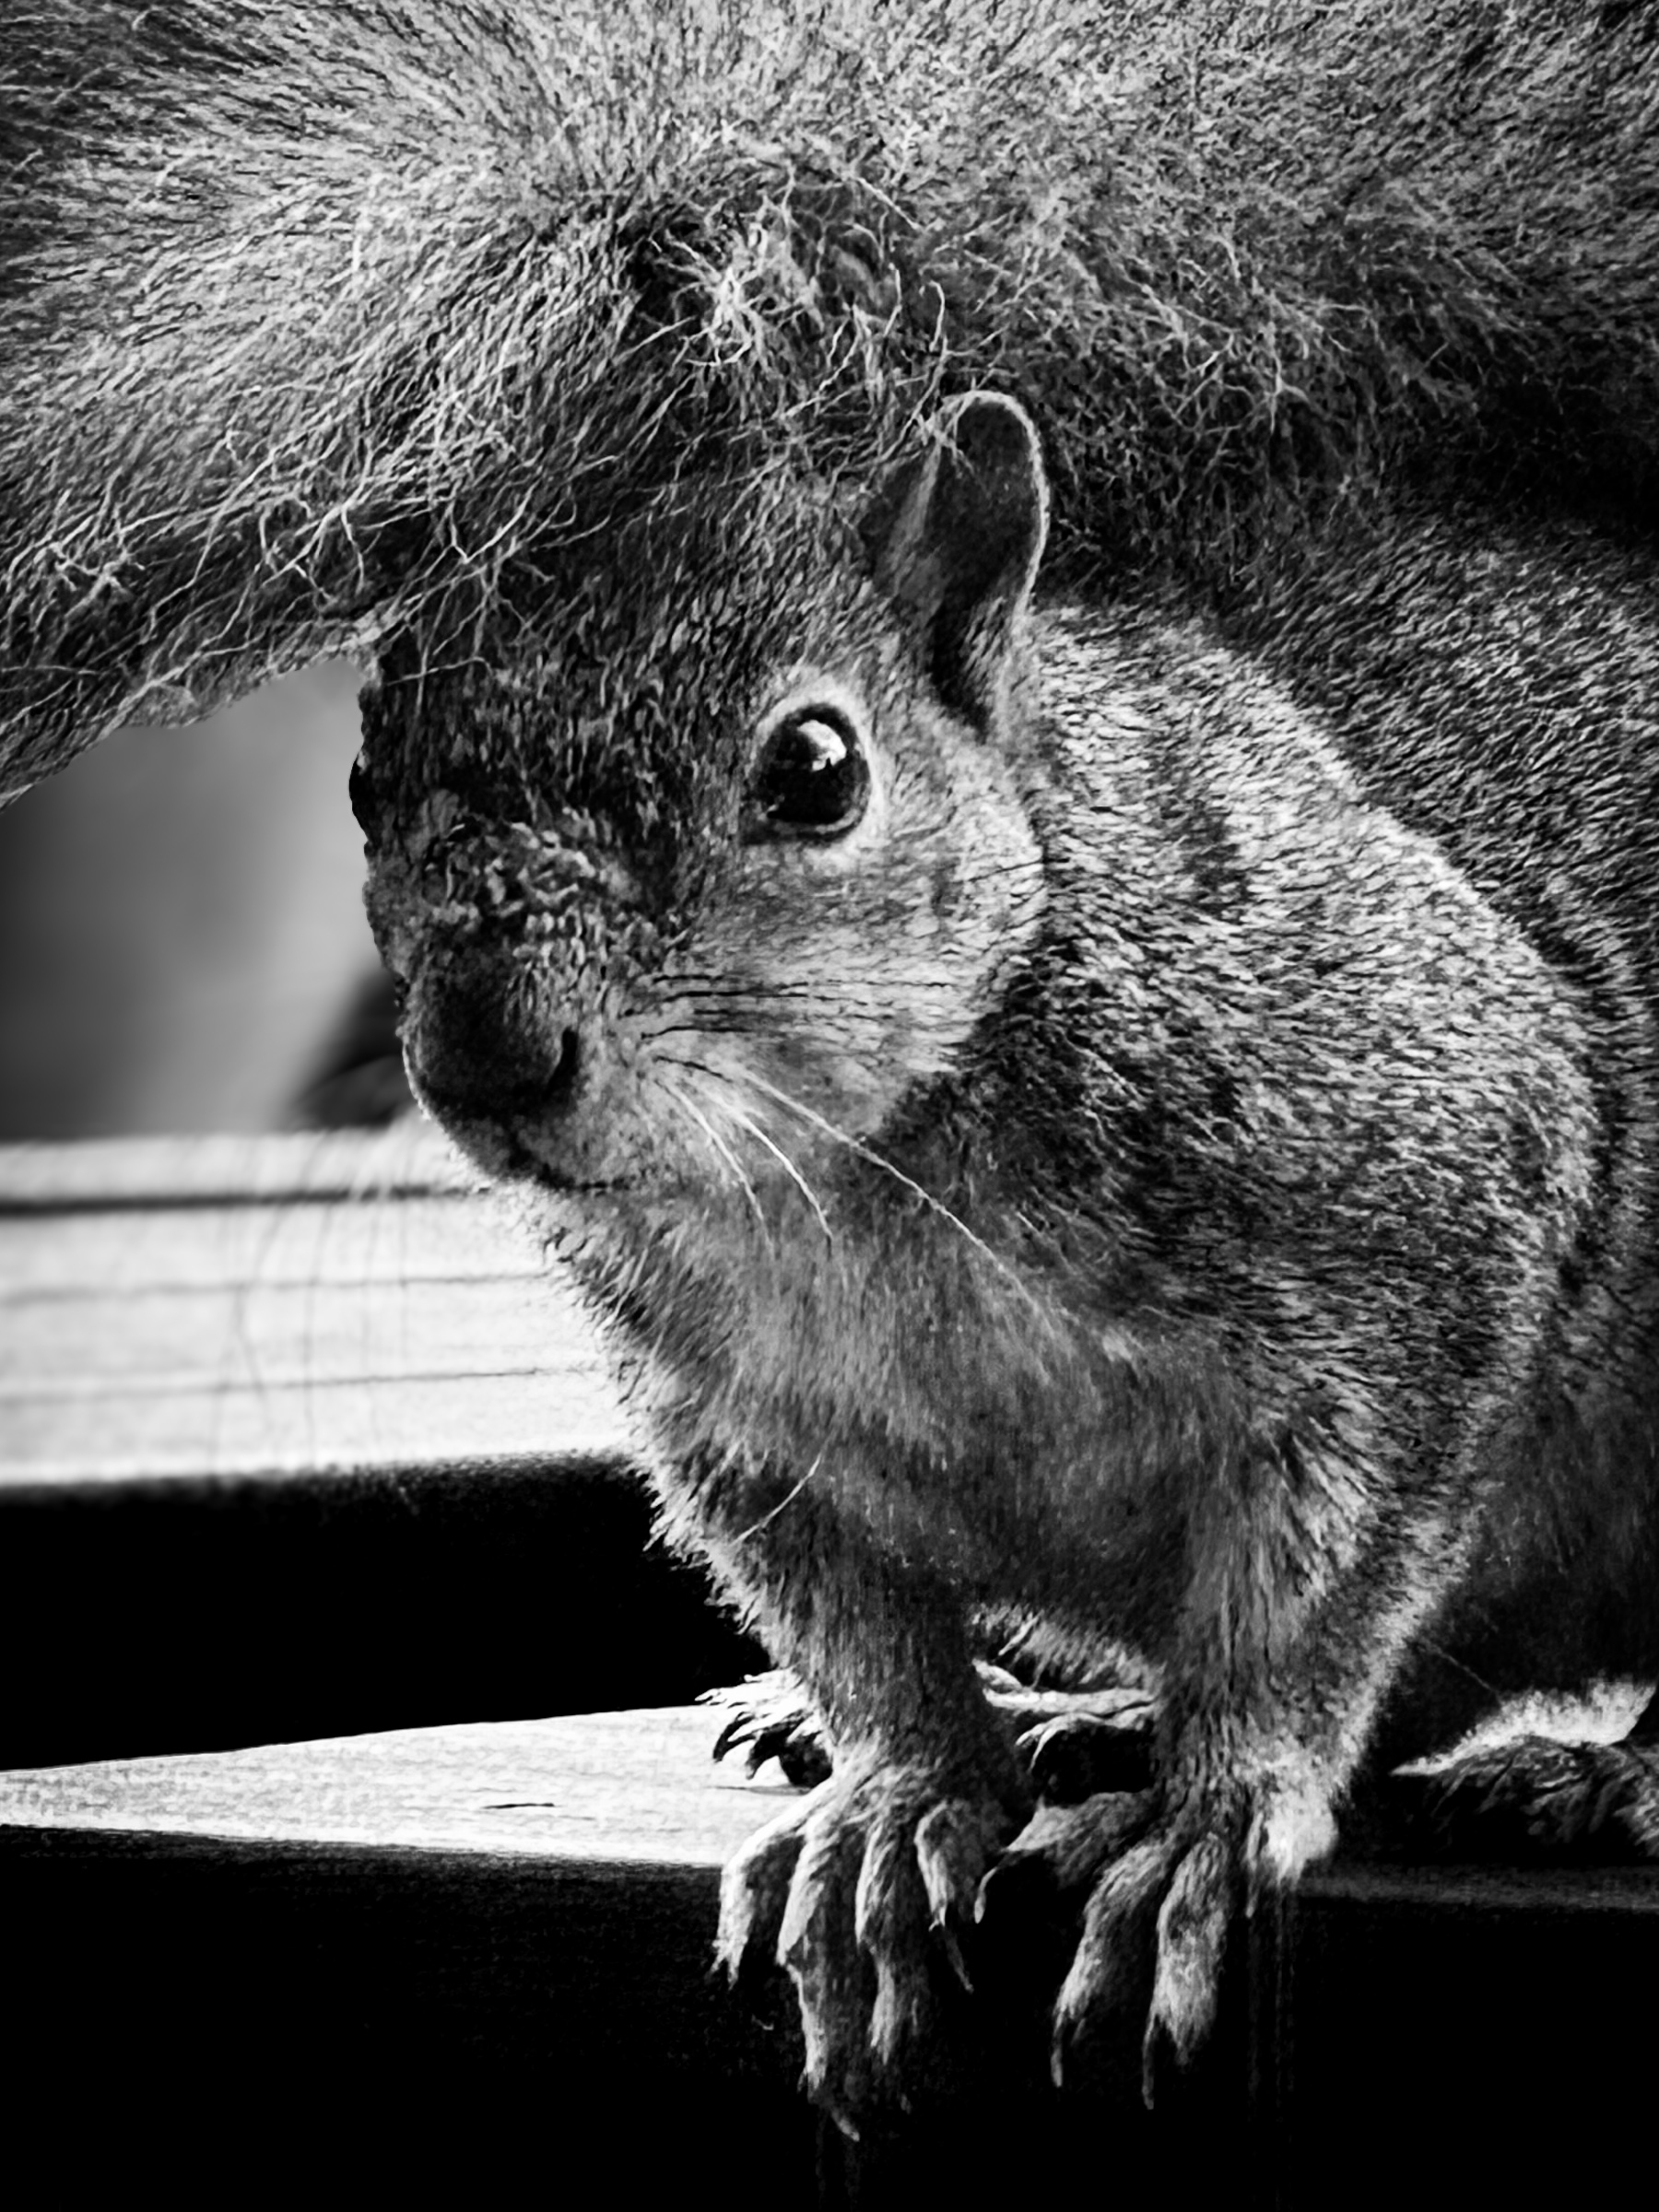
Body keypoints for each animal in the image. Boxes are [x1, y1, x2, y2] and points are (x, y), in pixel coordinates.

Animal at [5, 0, 1659, 2132]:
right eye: (367, 781)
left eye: (814, 770)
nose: (487, 1056)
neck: (844, 1177)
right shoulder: (747, 1435)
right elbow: (860, 1630)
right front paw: (890, 1797)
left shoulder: (1434, 1192)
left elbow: (1323, 1596)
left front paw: (1213, 1816)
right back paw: (1068, 1705)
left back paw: (1585, 1771)